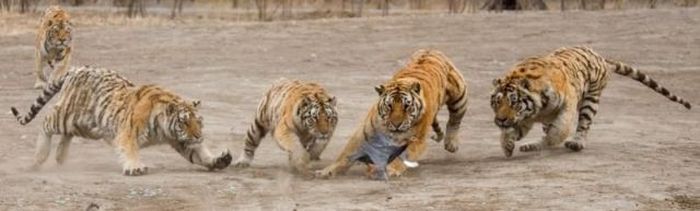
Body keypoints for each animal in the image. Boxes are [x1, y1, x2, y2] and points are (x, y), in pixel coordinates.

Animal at [9, 65, 232, 176]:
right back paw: (40, 157)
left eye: (199, 122)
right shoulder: (128, 132)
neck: (164, 129)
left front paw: (219, 160)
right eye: (184, 122)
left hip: (87, 127)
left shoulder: (181, 140)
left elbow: (200, 154)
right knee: (45, 123)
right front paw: (135, 168)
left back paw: (60, 158)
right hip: (67, 116)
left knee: (66, 135)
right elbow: (131, 150)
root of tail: (76, 68)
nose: (199, 135)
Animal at [318, 49, 470, 178]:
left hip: (459, 97)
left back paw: (451, 144)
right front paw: (327, 171)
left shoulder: (416, 140)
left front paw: (391, 169)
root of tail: (431, 50)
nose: (396, 125)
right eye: (389, 106)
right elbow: (346, 153)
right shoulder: (364, 132)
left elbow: (402, 156)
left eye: (406, 106)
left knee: (455, 120)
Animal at [490, 45, 692, 157]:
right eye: (497, 102)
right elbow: (513, 132)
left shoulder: (567, 105)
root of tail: (600, 57)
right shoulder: (525, 118)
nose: (500, 120)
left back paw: (575, 143)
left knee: (582, 125)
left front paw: (551, 140)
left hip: (591, 100)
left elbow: (559, 130)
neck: (537, 110)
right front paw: (507, 145)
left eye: (514, 102)